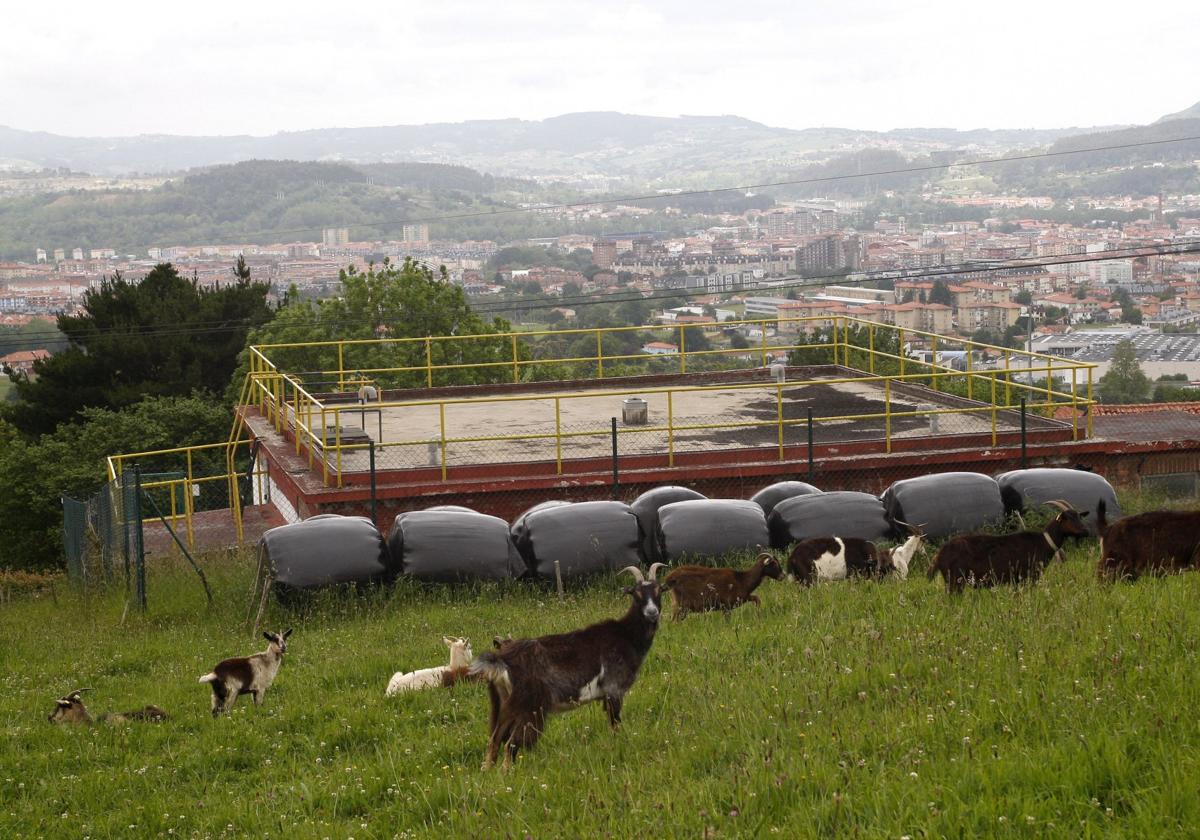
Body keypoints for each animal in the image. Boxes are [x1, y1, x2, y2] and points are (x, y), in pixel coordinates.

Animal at [465, 564, 667, 768]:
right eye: (636, 592)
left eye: (659, 590)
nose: (652, 612)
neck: (627, 635)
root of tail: (501, 660)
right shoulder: (614, 689)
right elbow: (615, 725)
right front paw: (619, 747)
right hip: (530, 707)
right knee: (511, 745)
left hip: (502, 704)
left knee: (494, 741)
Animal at [926, 501, 1089, 592]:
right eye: (1068, 518)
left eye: (1079, 516)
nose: (1086, 531)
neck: (1043, 542)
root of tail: (938, 555)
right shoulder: (1028, 577)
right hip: (955, 580)